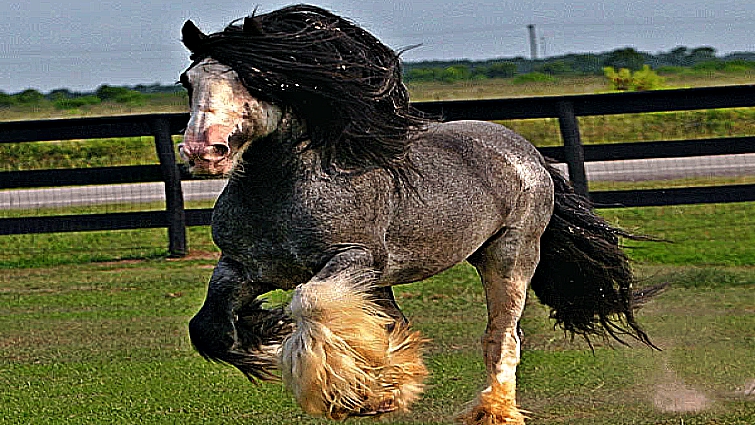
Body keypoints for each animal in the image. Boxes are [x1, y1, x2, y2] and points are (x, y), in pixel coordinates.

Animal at [180, 5, 656, 424]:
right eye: (188, 81)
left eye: (254, 79)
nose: (203, 150)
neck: (283, 191)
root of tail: (527, 152)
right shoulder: (241, 267)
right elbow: (210, 328)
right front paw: (358, 381)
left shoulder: (352, 259)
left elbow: (311, 301)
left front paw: (352, 390)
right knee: (398, 322)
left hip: (511, 256)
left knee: (502, 337)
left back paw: (494, 410)